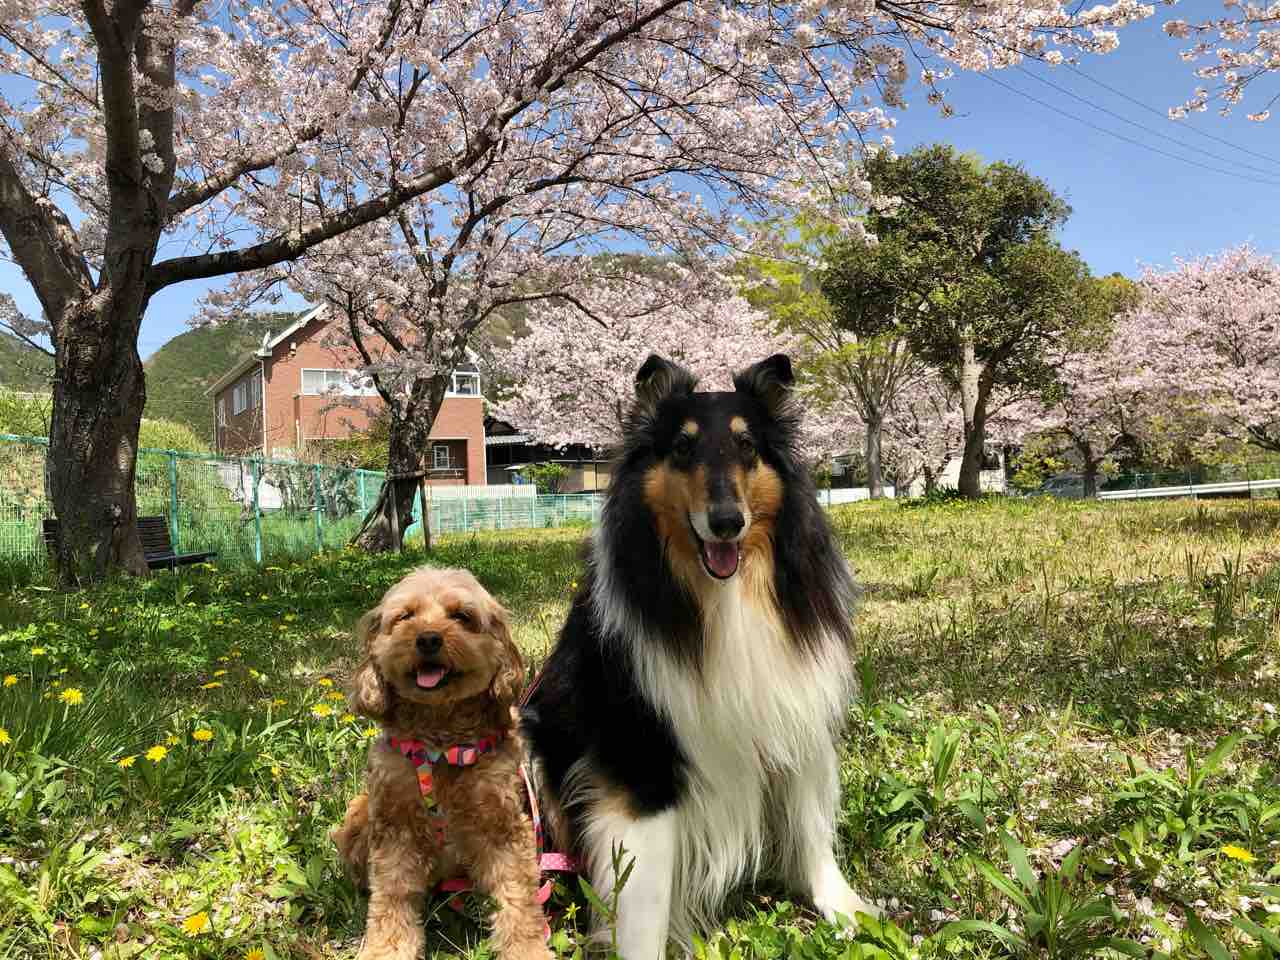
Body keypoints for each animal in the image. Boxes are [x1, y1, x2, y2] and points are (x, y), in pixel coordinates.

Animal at [333, 566, 551, 960]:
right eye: (405, 616)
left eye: (462, 616)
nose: (428, 639)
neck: (440, 744)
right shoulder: (396, 827)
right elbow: (392, 898)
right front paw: (386, 949)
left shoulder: (503, 827)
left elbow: (518, 899)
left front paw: (527, 950)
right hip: (360, 813)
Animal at [520, 353, 879, 957]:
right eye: (683, 447)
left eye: (747, 446)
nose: (727, 522)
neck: (725, 597)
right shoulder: (641, 765)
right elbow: (642, 905)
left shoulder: (796, 709)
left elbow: (811, 825)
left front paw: (844, 907)